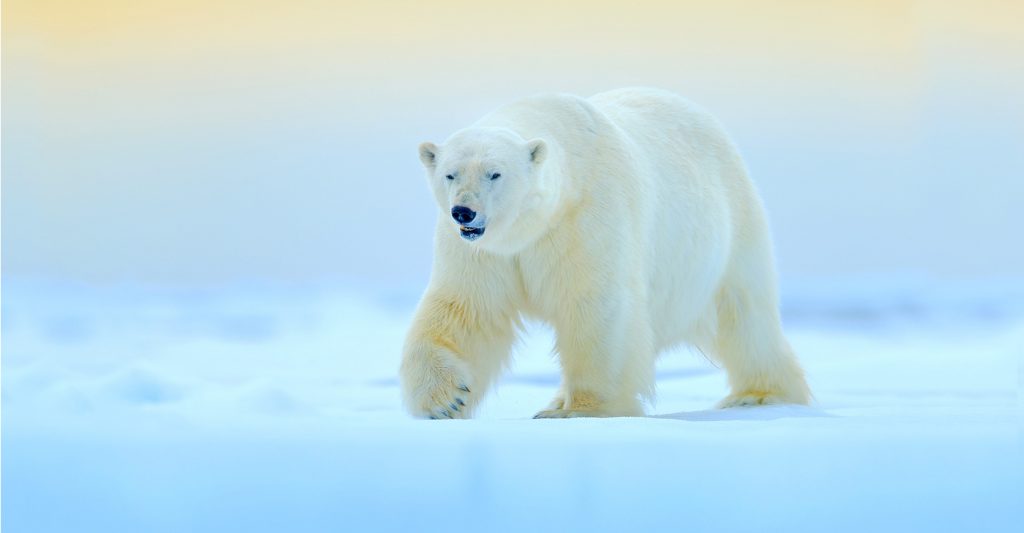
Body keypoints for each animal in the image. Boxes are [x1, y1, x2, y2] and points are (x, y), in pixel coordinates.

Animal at [400, 87, 811, 419]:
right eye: (451, 173)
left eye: (495, 173)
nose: (464, 211)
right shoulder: (483, 251)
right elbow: (467, 308)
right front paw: (445, 399)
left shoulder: (587, 215)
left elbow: (595, 303)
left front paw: (586, 409)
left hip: (729, 231)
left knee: (745, 316)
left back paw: (760, 394)